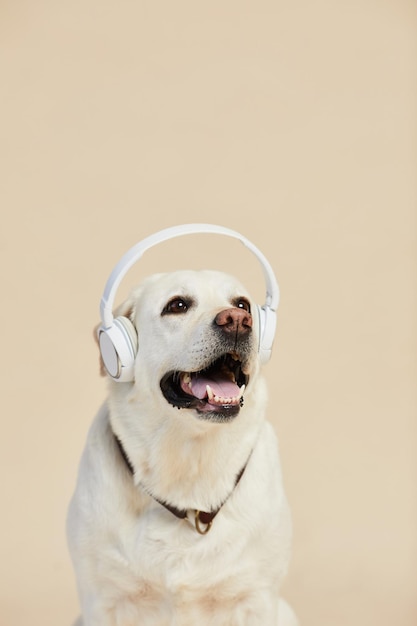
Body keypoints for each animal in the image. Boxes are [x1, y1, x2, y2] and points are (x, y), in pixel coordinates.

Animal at [66, 268, 298, 624]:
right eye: (177, 305)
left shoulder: (256, 597)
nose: (237, 320)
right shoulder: (103, 600)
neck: (190, 462)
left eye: (242, 304)